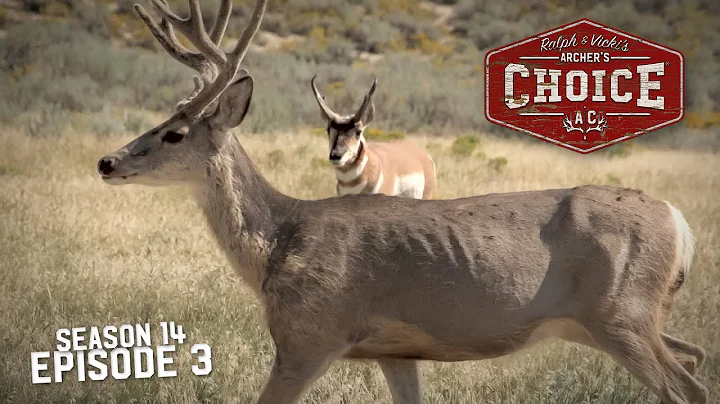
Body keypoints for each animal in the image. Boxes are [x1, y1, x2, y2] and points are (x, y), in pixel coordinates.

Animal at [97, 1, 708, 403]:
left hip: (621, 316)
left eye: (174, 133)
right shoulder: (395, 351)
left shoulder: (308, 335)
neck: (278, 243)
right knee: (696, 360)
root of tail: (679, 222)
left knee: (688, 389)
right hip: (626, 318)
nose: (107, 161)